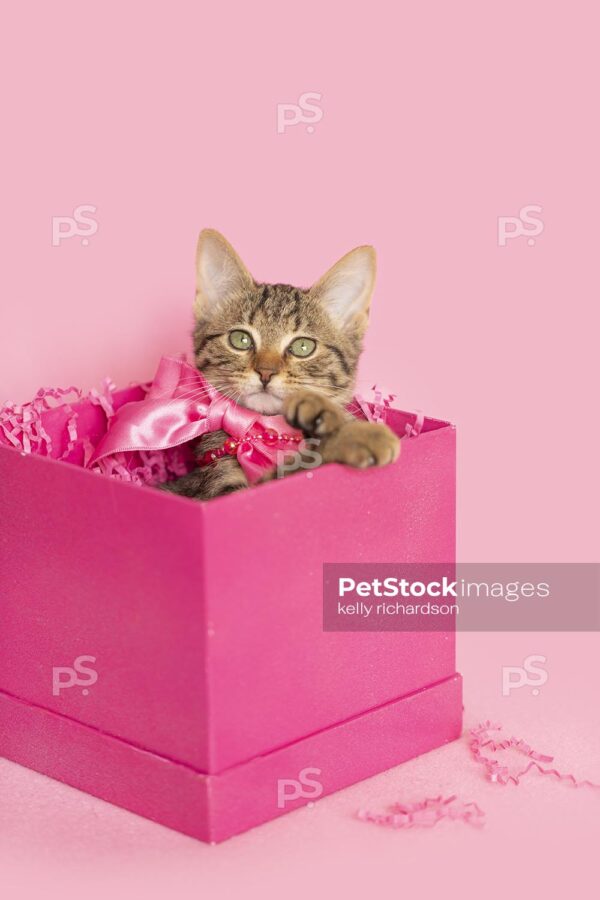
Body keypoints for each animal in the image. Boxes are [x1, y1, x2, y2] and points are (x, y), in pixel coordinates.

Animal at [162, 230, 400, 500]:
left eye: (303, 347)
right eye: (240, 339)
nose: (266, 372)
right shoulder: (223, 491)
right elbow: (292, 469)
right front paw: (355, 437)